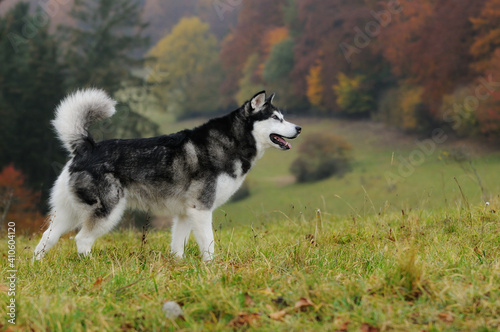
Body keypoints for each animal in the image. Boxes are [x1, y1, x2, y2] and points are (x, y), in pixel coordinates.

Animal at [35, 89, 302, 260]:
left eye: (283, 117)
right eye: (276, 118)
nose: (299, 128)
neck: (231, 141)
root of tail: (86, 146)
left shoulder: (185, 213)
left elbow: (178, 246)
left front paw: (178, 266)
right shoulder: (201, 209)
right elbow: (209, 246)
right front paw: (213, 269)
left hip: (67, 213)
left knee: (46, 238)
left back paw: (37, 266)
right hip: (108, 212)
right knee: (82, 240)